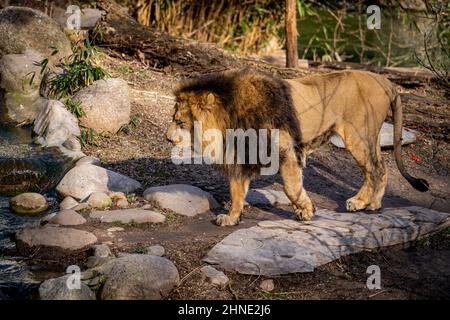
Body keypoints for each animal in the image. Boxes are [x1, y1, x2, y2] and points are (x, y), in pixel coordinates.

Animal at [165, 68, 428, 226]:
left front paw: (307, 210)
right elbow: (236, 192)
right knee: (381, 168)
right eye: (173, 119)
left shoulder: (286, 150)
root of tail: (385, 80)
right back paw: (374, 203)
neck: (229, 122)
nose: (167, 138)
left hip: (357, 136)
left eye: (180, 122)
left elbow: (291, 187)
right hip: (369, 137)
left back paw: (360, 202)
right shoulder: (241, 156)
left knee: (375, 170)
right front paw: (231, 218)